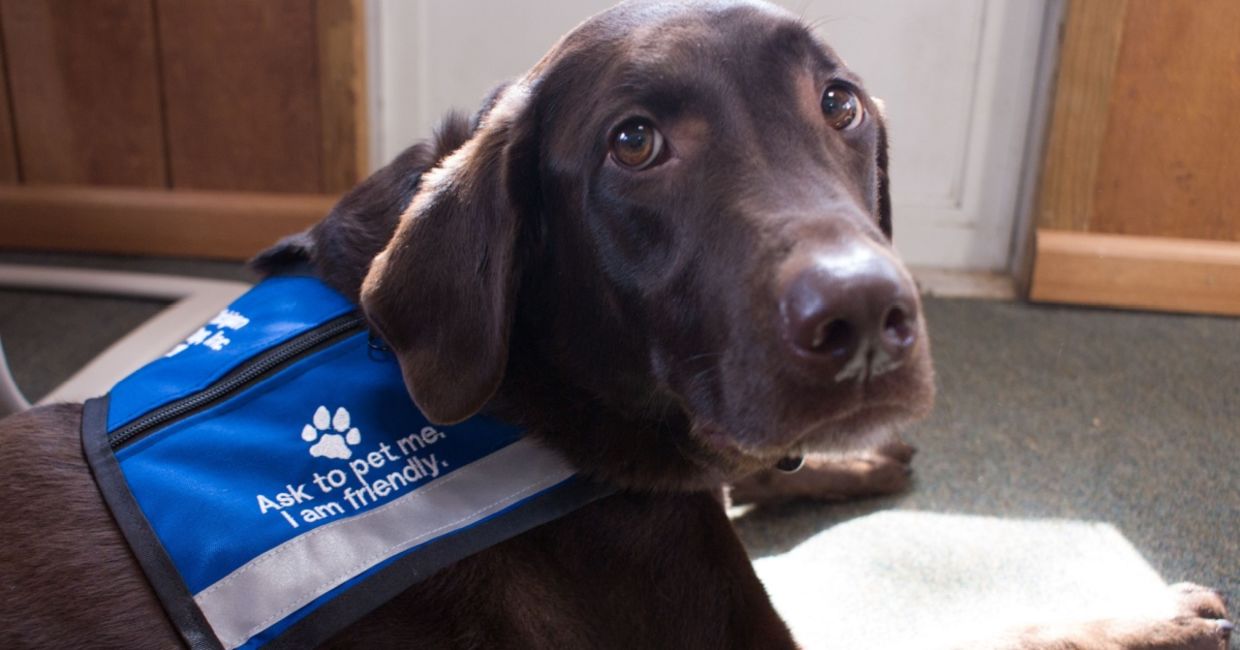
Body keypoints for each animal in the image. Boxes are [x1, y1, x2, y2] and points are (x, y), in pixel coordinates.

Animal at [0, 2, 1225, 645]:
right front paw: (1149, 608)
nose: (870, 315)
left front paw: (858, 457)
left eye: (838, 103)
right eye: (634, 143)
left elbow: (751, 466)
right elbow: (991, 629)